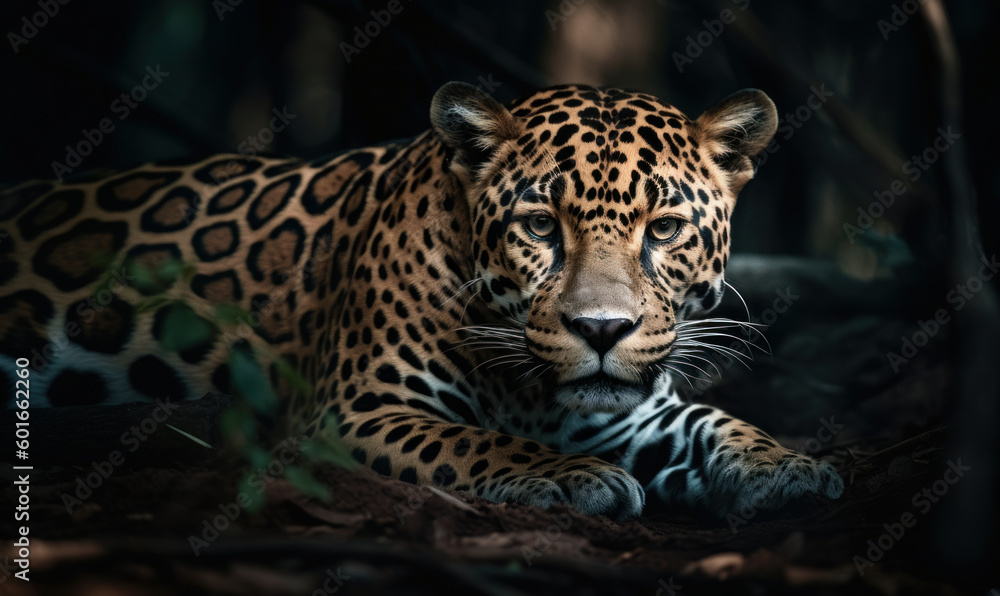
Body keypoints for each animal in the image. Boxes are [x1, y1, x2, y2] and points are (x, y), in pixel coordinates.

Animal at [0, 82, 844, 520]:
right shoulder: (350, 415)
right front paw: (570, 476)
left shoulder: (637, 411)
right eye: (541, 225)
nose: (601, 330)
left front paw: (790, 465)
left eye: (663, 229)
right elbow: (475, 442)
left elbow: (718, 422)